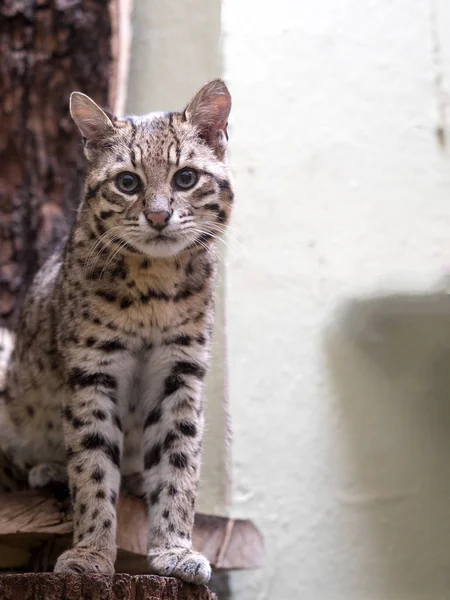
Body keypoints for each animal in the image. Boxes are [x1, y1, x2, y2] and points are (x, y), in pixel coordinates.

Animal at [0, 77, 232, 584]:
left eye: (186, 178)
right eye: (128, 183)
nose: (159, 217)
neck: (154, 282)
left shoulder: (181, 372)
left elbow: (179, 462)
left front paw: (175, 548)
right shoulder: (92, 369)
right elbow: (91, 467)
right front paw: (90, 555)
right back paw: (46, 469)